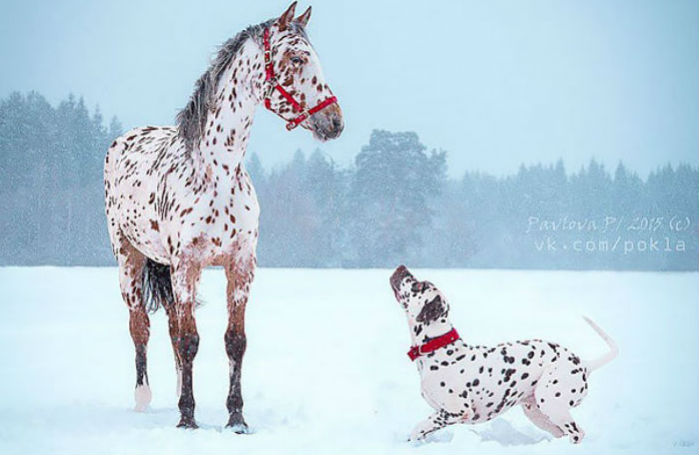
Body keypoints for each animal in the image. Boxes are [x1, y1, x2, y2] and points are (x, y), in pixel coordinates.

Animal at [102, 2, 344, 432]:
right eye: (297, 58)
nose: (334, 121)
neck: (217, 174)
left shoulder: (240, 265)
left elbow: (234, 340)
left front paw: (236, 417)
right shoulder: (186, 264)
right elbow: (189, 340)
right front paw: (187, 417)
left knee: (170, 327)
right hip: (129, 260)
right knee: (141, 327)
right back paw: (144, 399)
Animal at [392, 266, 620, 444]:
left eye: (418, 286)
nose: (402, 267)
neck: (438, 348)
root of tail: (584, 364)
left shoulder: (458, 410)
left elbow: (420, 426)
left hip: (552, 403)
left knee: (577, 433)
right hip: (538, 411)